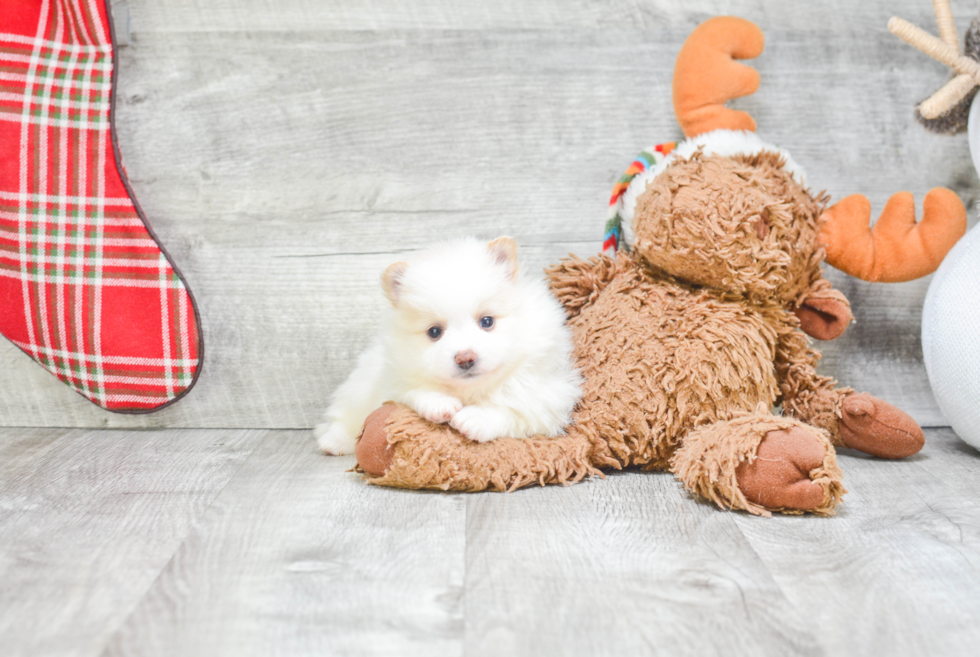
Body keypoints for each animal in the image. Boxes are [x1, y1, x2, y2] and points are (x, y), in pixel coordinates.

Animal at [316, 236, 580, 456]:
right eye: (434, 332)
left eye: (487, 321)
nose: (465, 358)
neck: (471, 391)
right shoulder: (392, 383)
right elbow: (414, 390)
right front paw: (438, 403)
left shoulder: (548, 399)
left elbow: (511, 410)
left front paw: (475, 419)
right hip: (359, 387)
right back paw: (333, 441)